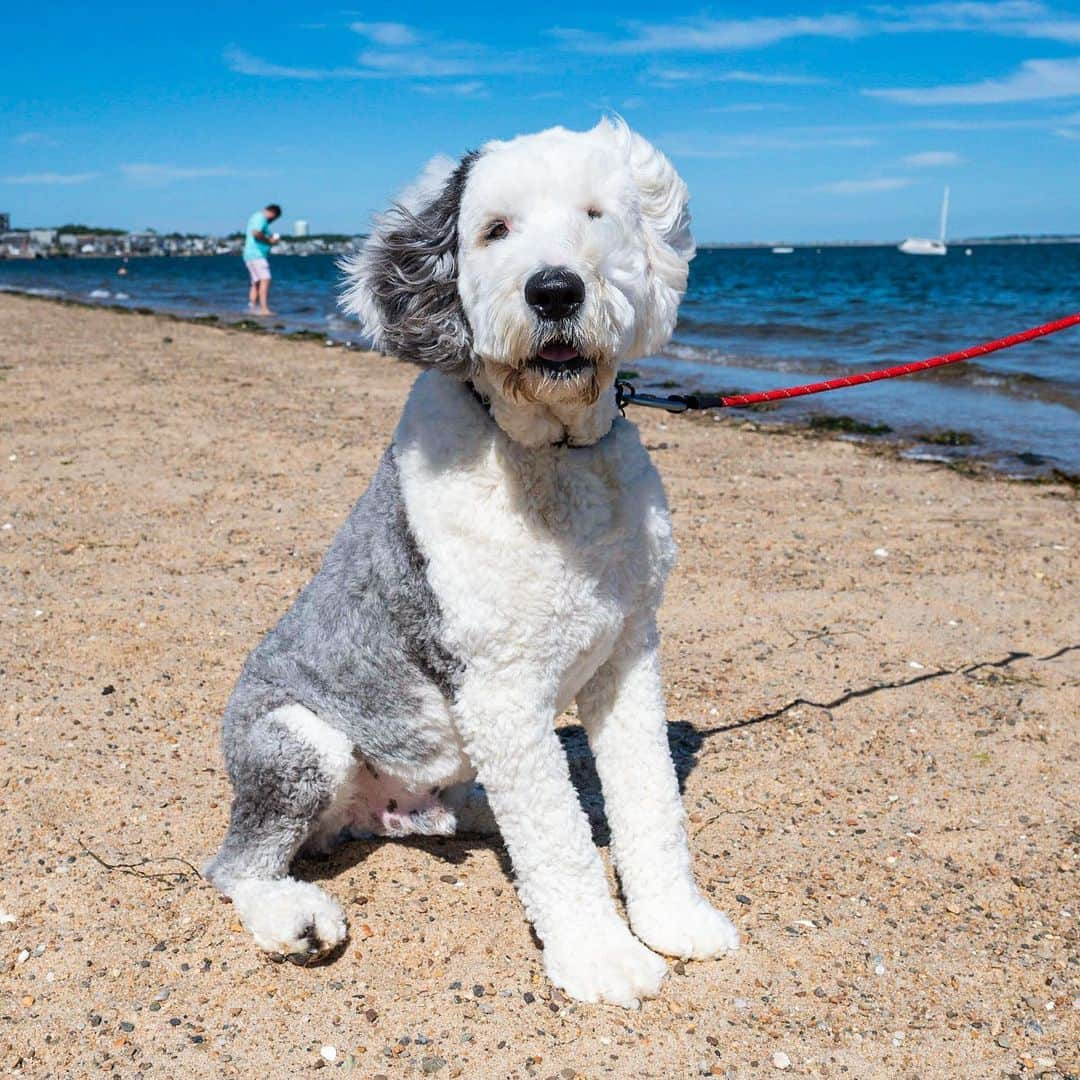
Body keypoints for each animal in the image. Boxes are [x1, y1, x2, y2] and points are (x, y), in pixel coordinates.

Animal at [205, 122, 738, 1006]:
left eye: (596, 216)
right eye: (494, 230)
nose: (554, 291)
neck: (553, 455)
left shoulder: (628, 654)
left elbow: (651, 801)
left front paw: (676, 920)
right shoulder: (500, 685)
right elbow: (555, 840)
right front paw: (603, 958)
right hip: (297, 743)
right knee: (234, 864)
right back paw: (294, 918)